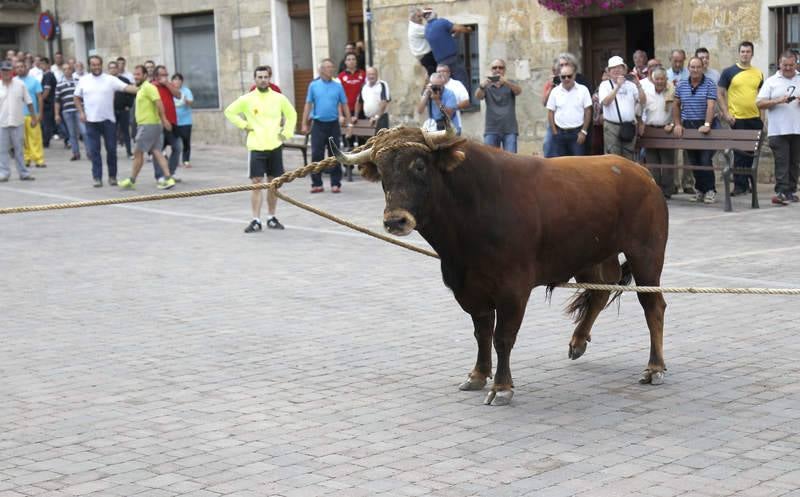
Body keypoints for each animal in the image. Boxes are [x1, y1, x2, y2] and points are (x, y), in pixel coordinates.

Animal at [332, 123, 668, 404]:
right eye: (382, 171)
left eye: (419, 165)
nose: (395, 220)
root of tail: (642, 173)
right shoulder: (468, 288)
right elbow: (482, 333)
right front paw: (478, 375)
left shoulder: (513, 288)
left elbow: (503, 337)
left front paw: (502, 387)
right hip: (591, 255)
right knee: (600, 291)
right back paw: (578, 342)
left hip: (646, 254)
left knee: (653, 305)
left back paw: (654, 367)